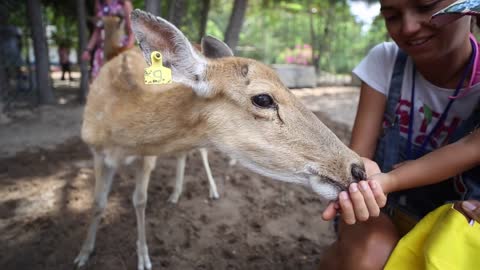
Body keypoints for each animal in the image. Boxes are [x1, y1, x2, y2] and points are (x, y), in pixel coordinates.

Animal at [75, 8, 366, 270]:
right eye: (263, 98)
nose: (358, 168)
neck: (116, 128)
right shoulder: (96, 151)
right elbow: (99, 203)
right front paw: (84, 254)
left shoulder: (146, 156)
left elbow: (139, 200)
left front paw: (143, 259)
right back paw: (176, 194)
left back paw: (204, 191)